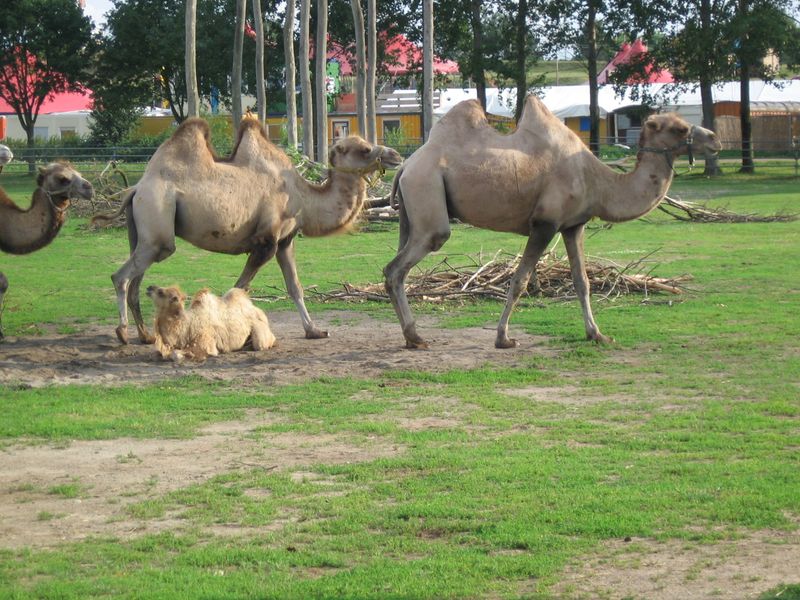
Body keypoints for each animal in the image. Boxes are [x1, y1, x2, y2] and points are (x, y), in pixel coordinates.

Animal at [147, 284, 276, 364]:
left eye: (160, 292)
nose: (149, 287)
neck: (187, 325)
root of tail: (259, 311)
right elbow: (155, 354)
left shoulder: (206, 344)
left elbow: (176, 354)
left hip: (260, 334)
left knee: (261, 345)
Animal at [384, 96, 720, 350]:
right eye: (679, 128)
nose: (714, 139)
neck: (598, 182)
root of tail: (405, 167)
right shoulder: (545, 223)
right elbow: (519, 281)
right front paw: (503, 338)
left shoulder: (573, 226)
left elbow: (582, 281)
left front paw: (597, 334)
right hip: (428, 197)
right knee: (399, 266)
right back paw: (416, 336)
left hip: (411, 214)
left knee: (396, 269)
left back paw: (411, 337)